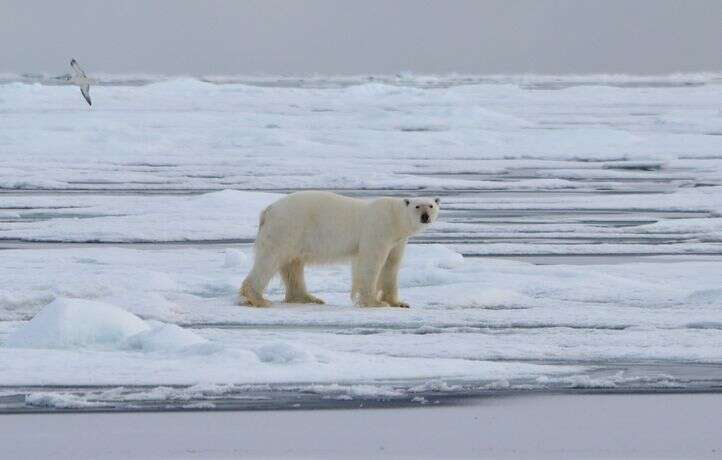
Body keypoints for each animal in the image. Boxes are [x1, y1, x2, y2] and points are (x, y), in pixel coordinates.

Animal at [240, 190, 438, 310]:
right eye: (417, 206)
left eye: (431, 205)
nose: (425, 216)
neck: (394, 217)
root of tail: (268, 210)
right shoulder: (378, 229)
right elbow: (371, 262)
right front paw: (375, 302)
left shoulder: (397, 240)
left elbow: (392, 265)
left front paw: (398, 303)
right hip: (287, 226)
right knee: (271, 259)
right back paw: (259, 299)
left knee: (292, 264)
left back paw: (308, 298)